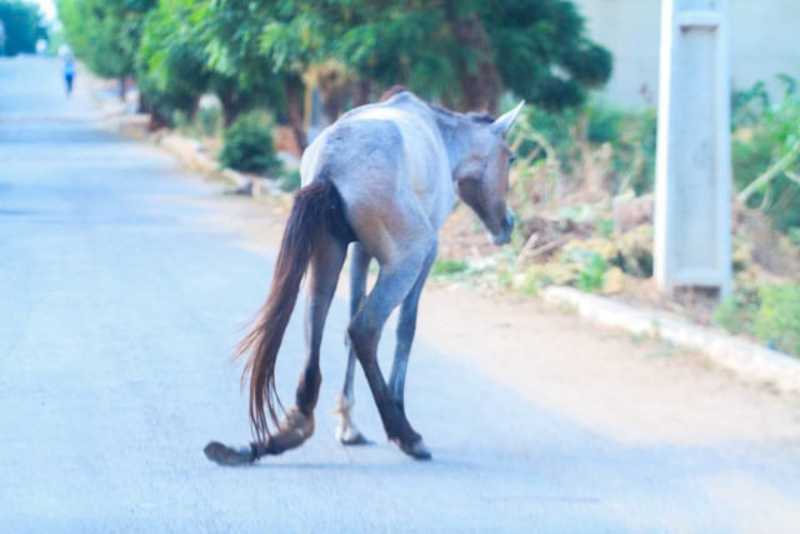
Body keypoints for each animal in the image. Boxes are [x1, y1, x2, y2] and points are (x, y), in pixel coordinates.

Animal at [203, 90, 520, 466]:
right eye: (511, 158)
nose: (508, 224)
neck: (443, 137)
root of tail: (330, 165)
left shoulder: (358, 252)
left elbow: (351, 314)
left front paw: (348, 423)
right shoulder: (426, 256)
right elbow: (405, 328)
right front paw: (391, 409)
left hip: (328, 252)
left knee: (318, 321)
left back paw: (289, 431)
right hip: (408, 258)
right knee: (365, 329)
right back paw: (405, 433)